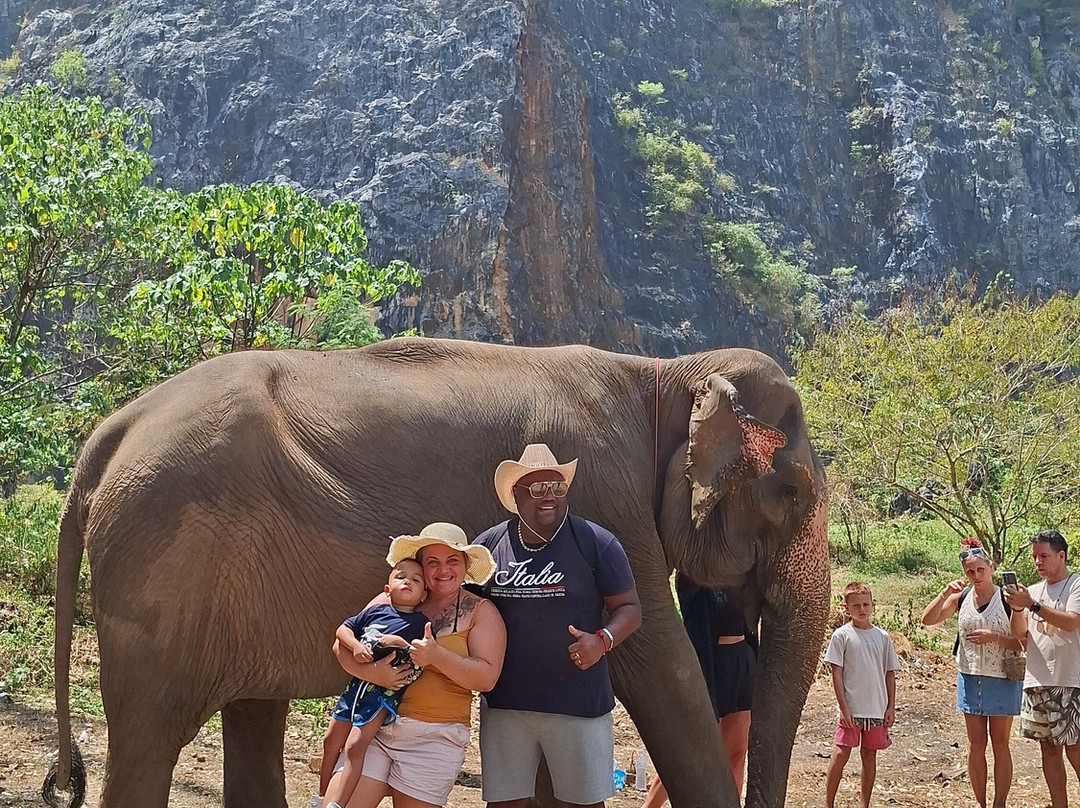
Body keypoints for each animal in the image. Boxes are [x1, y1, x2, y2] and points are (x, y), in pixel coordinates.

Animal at [48, 337, 829, 808]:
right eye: (792, 494)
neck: (664, 372)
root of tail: (109, 434)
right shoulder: (609, 494)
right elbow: (664, 669)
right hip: (164, 574)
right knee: (150, 738)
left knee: (250, 715)